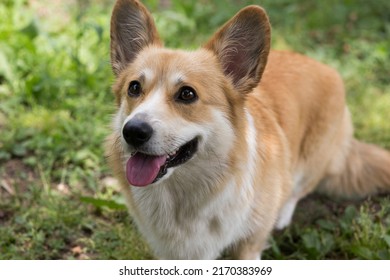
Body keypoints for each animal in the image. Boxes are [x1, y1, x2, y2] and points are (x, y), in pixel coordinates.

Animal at [105, 0, 390, 260]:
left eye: (187, 94)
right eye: (134, 88)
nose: (133, 131)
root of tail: (324, 66)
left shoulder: (249, 246)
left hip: (313, 160)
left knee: (299, 188)